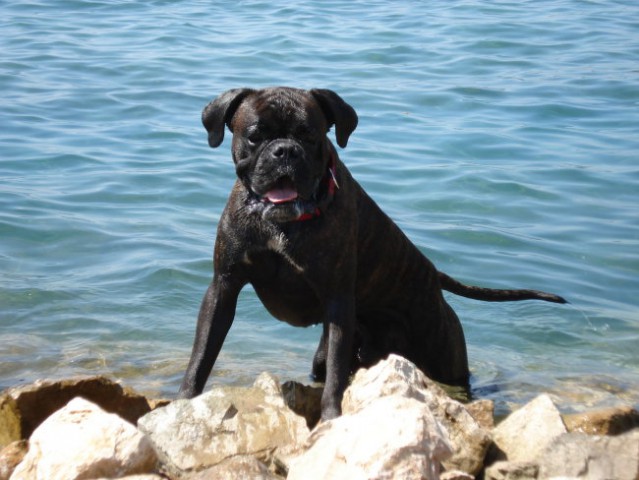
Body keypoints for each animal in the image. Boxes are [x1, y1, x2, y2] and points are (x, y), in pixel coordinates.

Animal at [178, 86, 568, 420]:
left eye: (309, 135)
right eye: (256, 135)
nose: (285, 150)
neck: (283, 223)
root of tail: (432, 274)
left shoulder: (337, 303)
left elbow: (336, 378)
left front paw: (331, 419)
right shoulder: (223, 288)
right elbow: (201, 356)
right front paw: (183, 402)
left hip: (443, 355)